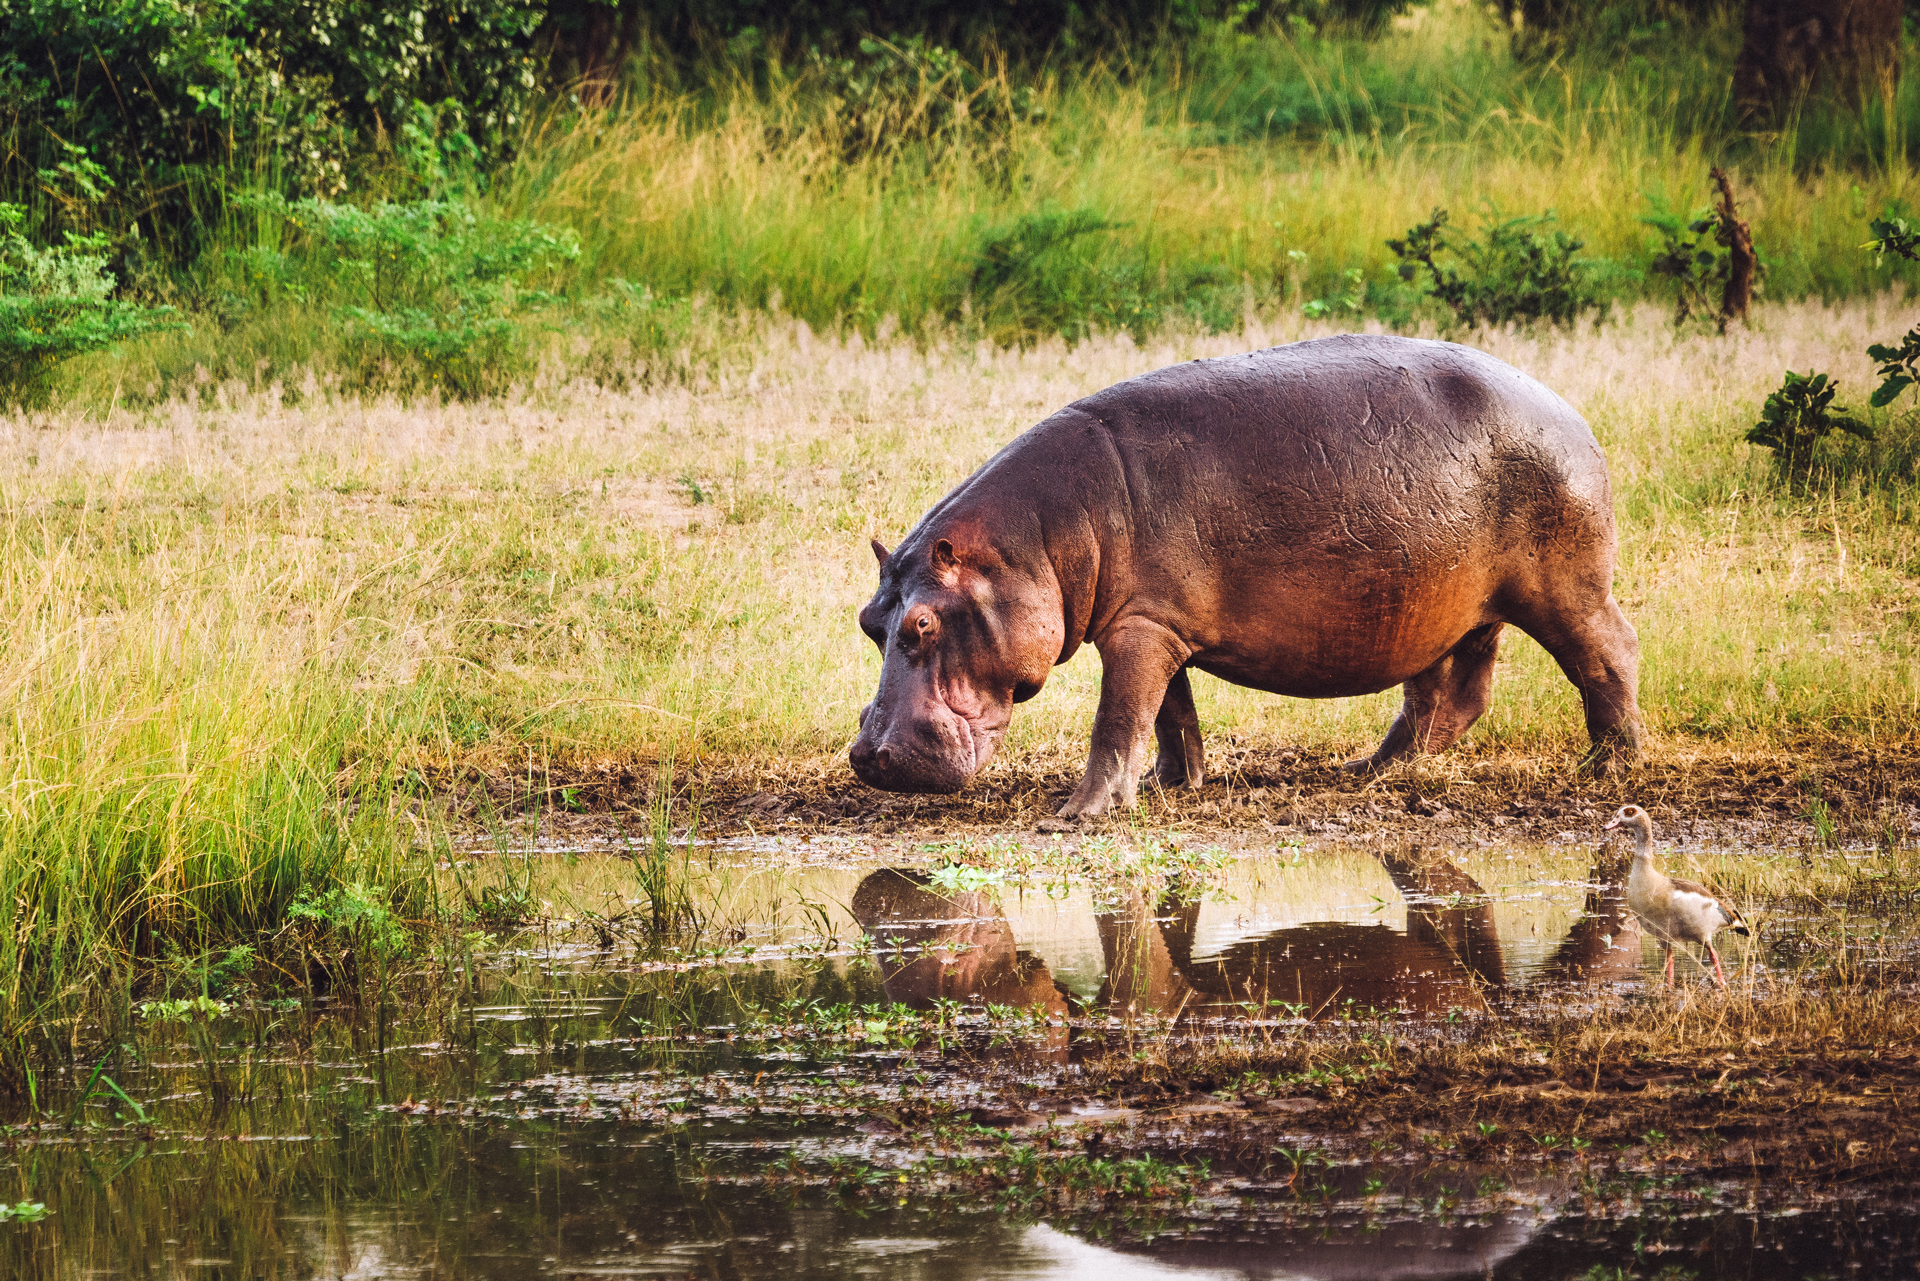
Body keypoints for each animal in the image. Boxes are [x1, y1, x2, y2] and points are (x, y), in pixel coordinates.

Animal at [850, 334, 1642, 816]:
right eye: (868, 622)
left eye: (922, 623)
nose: (867, 756)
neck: (1034, 540)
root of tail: (1572, 414)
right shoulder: (1156, 621)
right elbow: (1170, 714)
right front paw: (1173, 785)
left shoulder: (1140, 629)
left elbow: (1119, 717)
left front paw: (1080, 812)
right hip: (1455, 604)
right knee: (1449, 695)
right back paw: (1371, 772)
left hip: (1563, 589)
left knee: (1609, 653)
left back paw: (1610, 767)